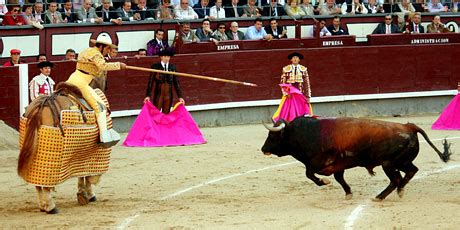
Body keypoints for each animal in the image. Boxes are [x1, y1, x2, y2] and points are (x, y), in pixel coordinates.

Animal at [18, 83, 114, 214]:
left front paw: (83, 194)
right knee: (46, 183)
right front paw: (88, 194)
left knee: (37, 181)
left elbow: (82, 173)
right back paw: (51, 207)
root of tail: (41, 105)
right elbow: (86, 175)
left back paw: (42, 205)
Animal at [260, 116, 452, 200]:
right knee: (411, 171)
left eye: (273, 136)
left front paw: (324, 182)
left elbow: (309, 173)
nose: (263, 149)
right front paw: (348, 193)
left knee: (396, 179)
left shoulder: (321, 163)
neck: (307, 134)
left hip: (389, 163)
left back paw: (380, 196)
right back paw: (400, 191)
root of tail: (408, 126)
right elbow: (339, 179)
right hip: (402, 161)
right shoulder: (338, 166)